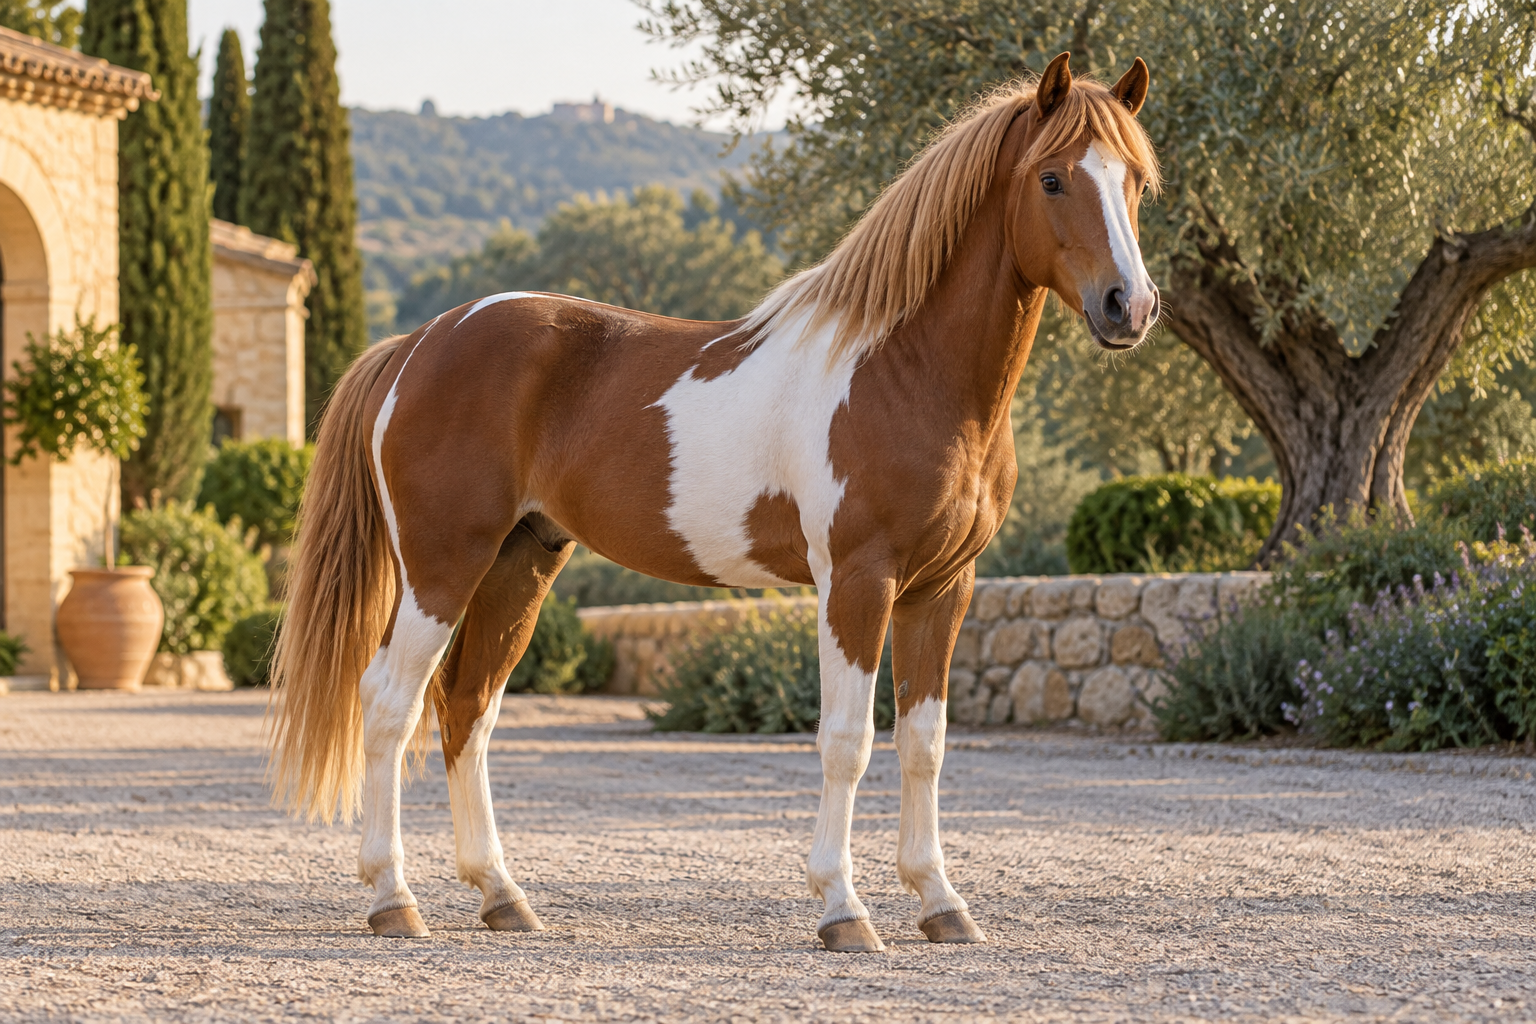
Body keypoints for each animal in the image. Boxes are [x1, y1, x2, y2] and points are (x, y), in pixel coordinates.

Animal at [268, 51, 1161, 953]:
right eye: (1051, 177)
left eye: (1135, 181)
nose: (1130, 307)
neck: (903, 370)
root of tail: (418, 343)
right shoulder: (857, 581)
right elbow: (848, 741)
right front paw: (843, 908)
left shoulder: (943, 588)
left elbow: (925, 744)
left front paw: (942, 903)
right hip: (442, 566)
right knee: (389, 703)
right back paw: (393, 899)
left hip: (520, 564)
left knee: (467, 708)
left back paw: (502, 895)